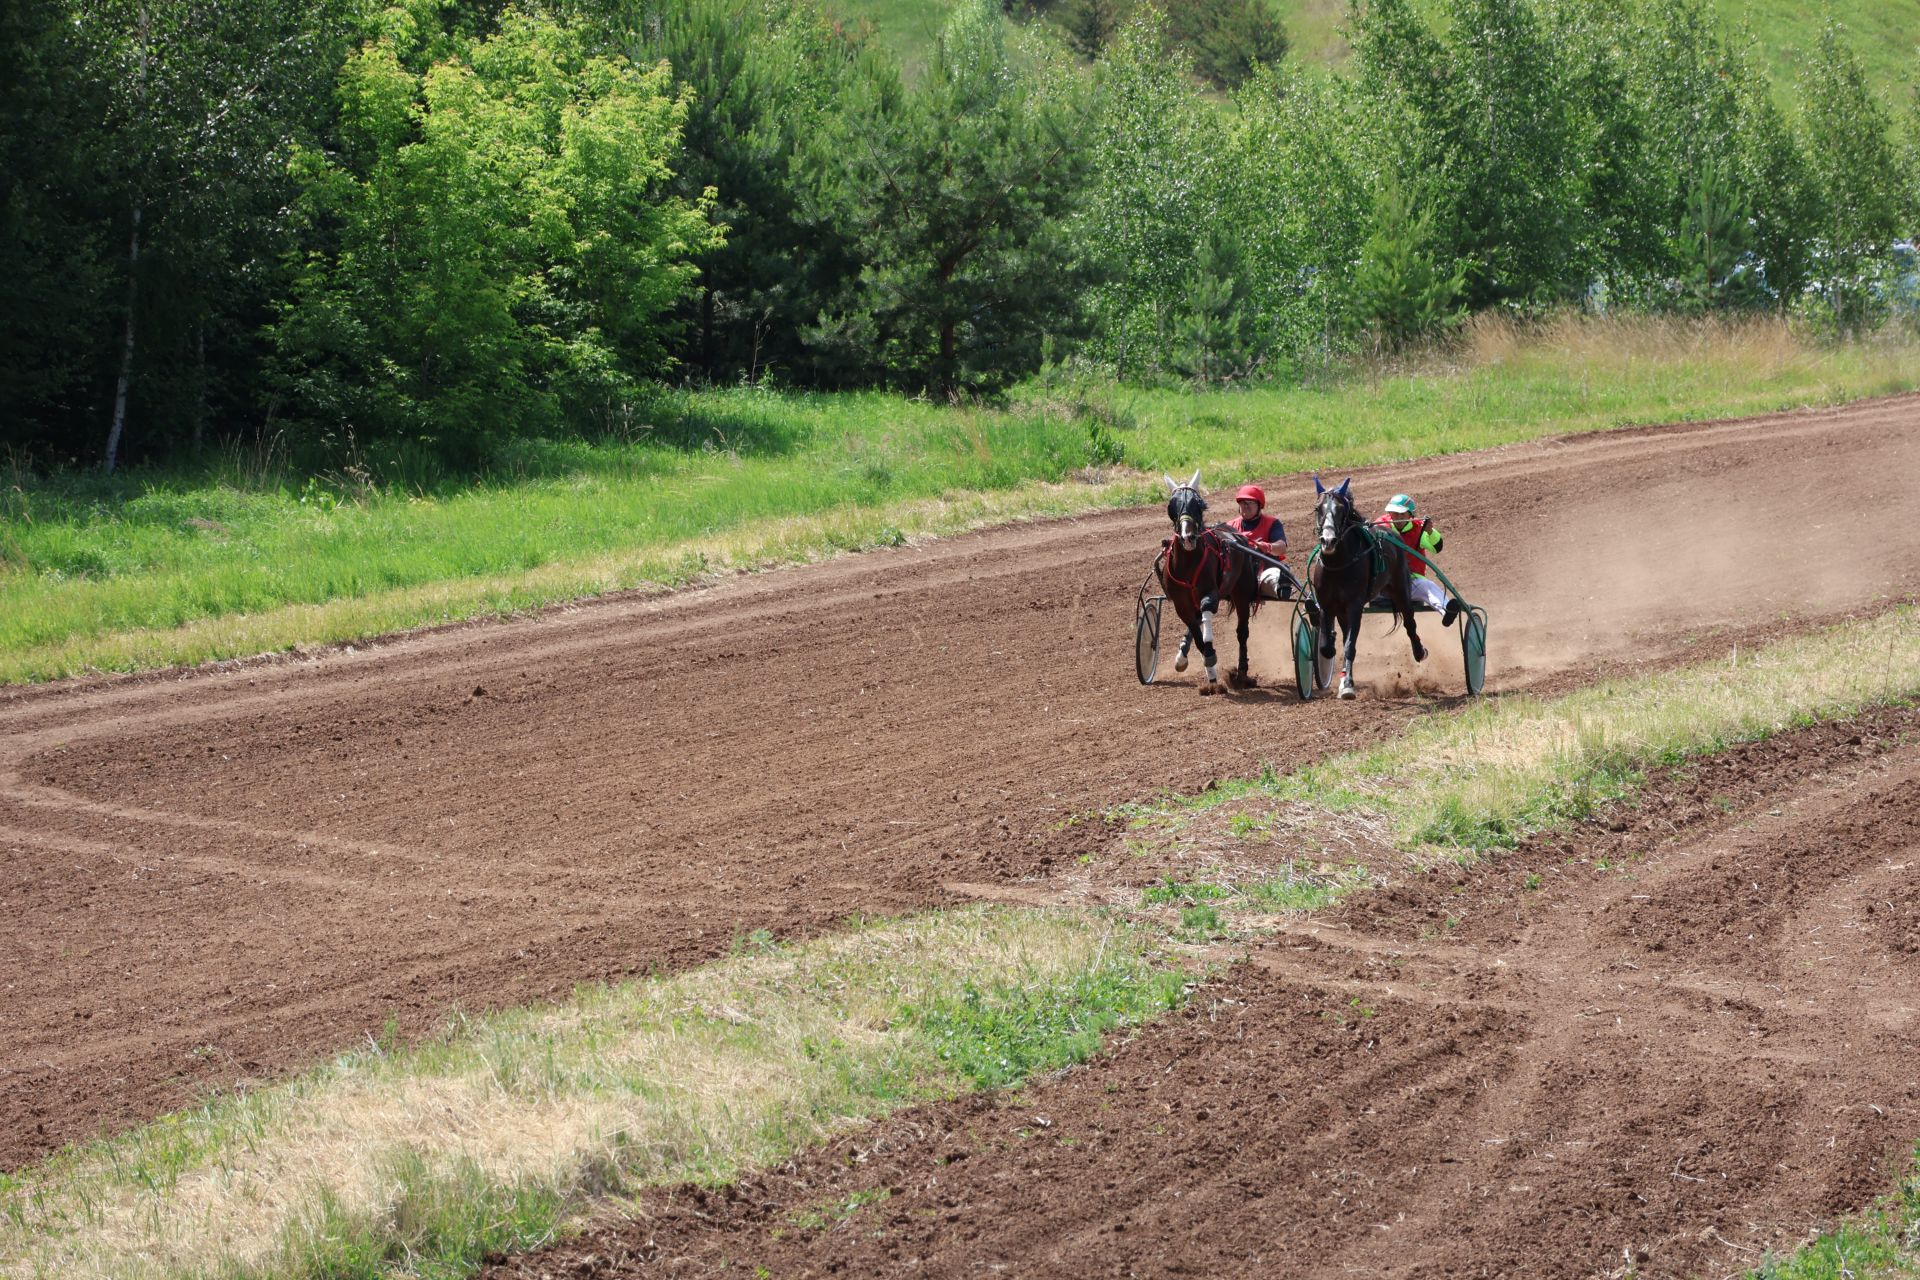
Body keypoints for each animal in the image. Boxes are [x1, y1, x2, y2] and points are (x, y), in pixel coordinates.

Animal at [1152, 470, 1259, 694]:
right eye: (1171, 506)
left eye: (1199, 504)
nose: (1187, 537)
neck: (1187, 564)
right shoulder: (1181, 605)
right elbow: (1196, 634)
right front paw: (1211, 678)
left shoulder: (1210, 593)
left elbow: (1207, 620)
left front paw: (1211, 656)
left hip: (1242, 594)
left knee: (1242, 633)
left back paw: (1242, 674)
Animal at [1305, 475, 1428, 702]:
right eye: (1318, 508)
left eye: (1341, 509)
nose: (1328, 540)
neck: (1338, 564)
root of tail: (1391, 532)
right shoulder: (1327, 605)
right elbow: (1327, 647)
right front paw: (1341, 675)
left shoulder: (1355, 606)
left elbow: (1349, 646)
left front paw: (1348, 686)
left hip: (1401, 589)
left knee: (1410, 622)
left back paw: (1419, 651)